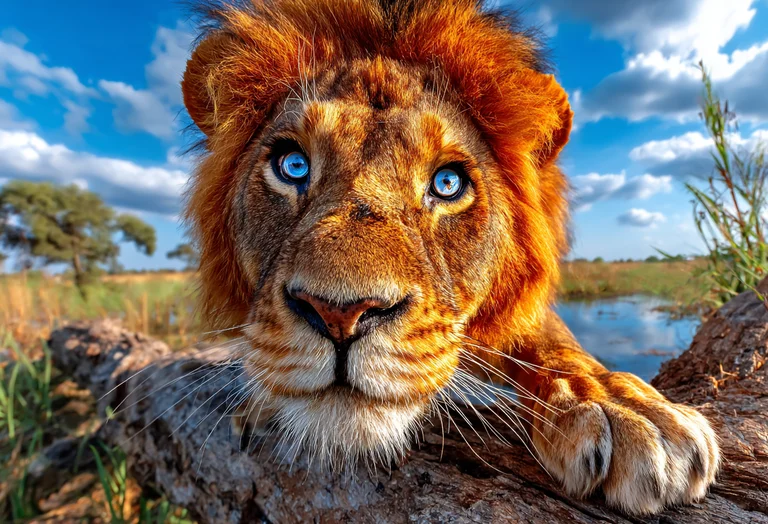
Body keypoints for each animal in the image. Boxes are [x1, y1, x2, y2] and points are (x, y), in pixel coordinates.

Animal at [181, 0, 720, 515]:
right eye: (292, 165)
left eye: (447, 183)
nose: (340, 314)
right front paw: (260, 399)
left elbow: (558, 345)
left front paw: (625, 409)